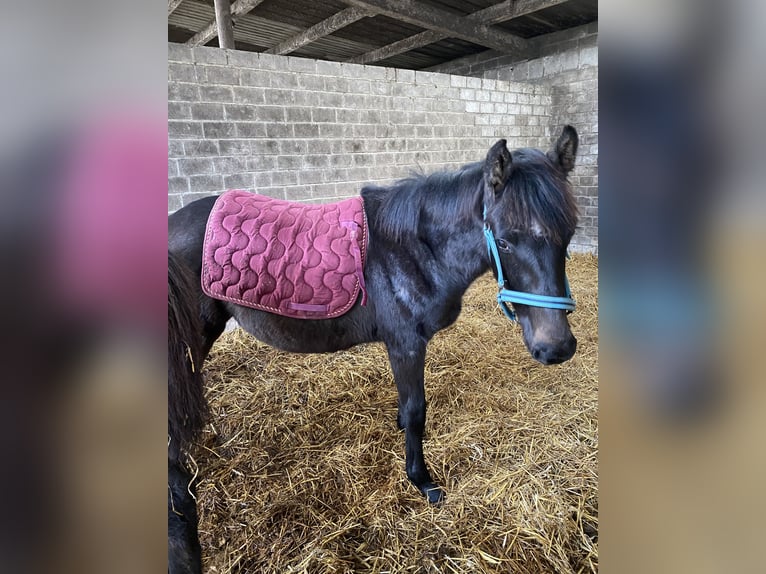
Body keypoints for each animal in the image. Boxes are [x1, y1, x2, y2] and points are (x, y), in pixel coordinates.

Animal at [170, 126, 584, 504]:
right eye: (503, 241)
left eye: (569, 233)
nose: (556, 348)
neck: (414, 250)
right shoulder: (406, 344)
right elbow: (416, 410)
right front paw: (421, 480)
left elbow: (406, 404)